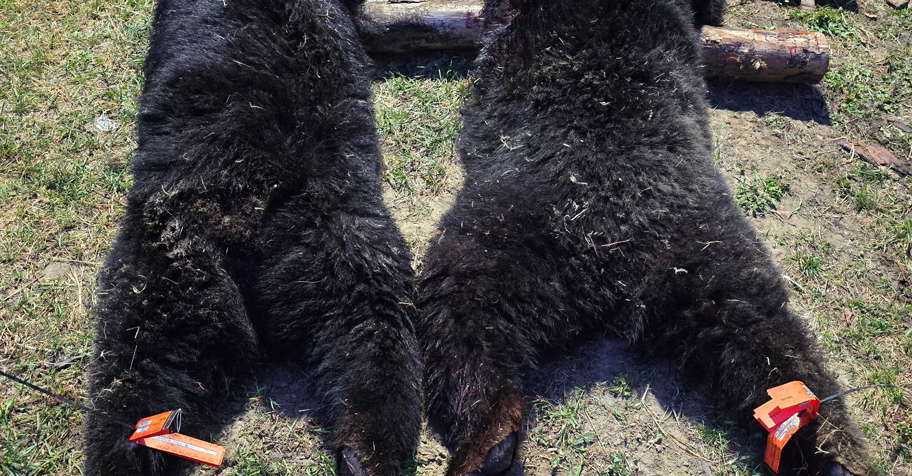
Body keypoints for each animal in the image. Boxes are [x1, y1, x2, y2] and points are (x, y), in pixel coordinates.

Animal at [417, 0, 874, 475]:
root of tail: (612, 265)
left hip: (500, 238)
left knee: (462, 323)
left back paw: (486, 439)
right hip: (715, 263)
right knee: (772, 341)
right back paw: (827, 449)